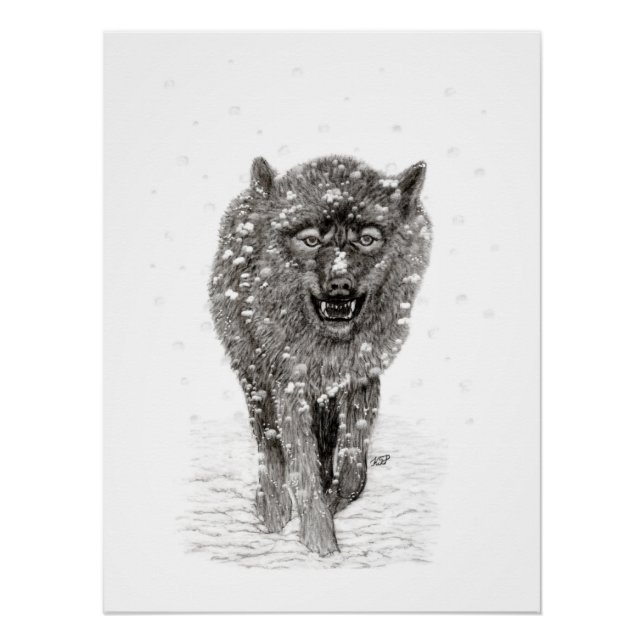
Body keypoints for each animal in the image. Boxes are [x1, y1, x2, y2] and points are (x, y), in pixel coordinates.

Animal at [209, 155, 431, 555]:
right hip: (255, 380)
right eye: (311, 240)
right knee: (269, 446)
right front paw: (319, 542)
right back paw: (272, 508)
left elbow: (353, 471)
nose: (340, 285)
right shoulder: (289, 387)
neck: (329, 347)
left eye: (367, 239)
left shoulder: (361, 378)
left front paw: (331, 504)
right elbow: (301, 467)